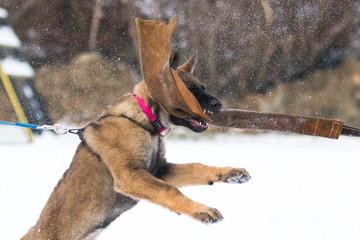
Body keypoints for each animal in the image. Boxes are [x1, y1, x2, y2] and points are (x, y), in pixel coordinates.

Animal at [22, 54, 250, 240]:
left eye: (202, 88)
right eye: (190, 90)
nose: (218, 105)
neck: (145, 120)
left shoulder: (159, 170)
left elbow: (196, 167)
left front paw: (230, 173)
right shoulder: (131, 175)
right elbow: (169, 190)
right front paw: (200, 209)